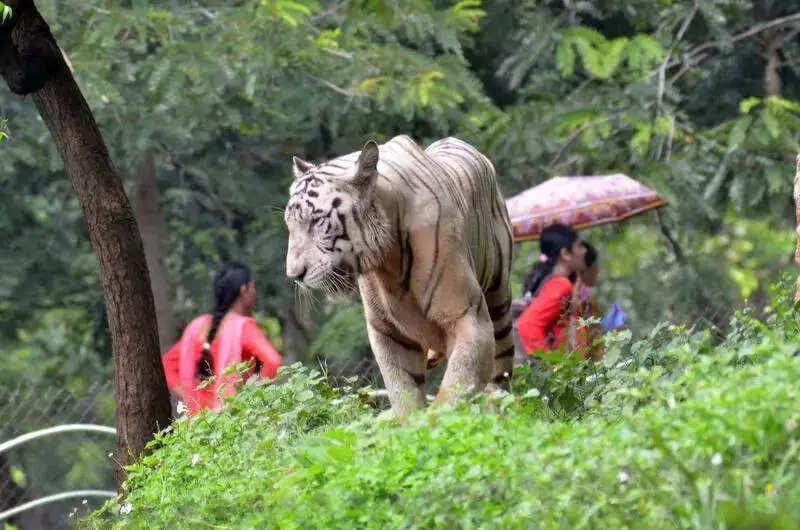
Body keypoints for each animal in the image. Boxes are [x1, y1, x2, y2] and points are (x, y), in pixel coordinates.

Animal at [283, 135, 515, 419]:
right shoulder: (388, 332)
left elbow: (455, 388)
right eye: (289, 224)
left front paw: (436, 422)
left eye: (317, 222)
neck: (389, 259)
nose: (294, 274)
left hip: (498, 302)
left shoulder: (467, 316)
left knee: (499, 375)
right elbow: (403, 392)